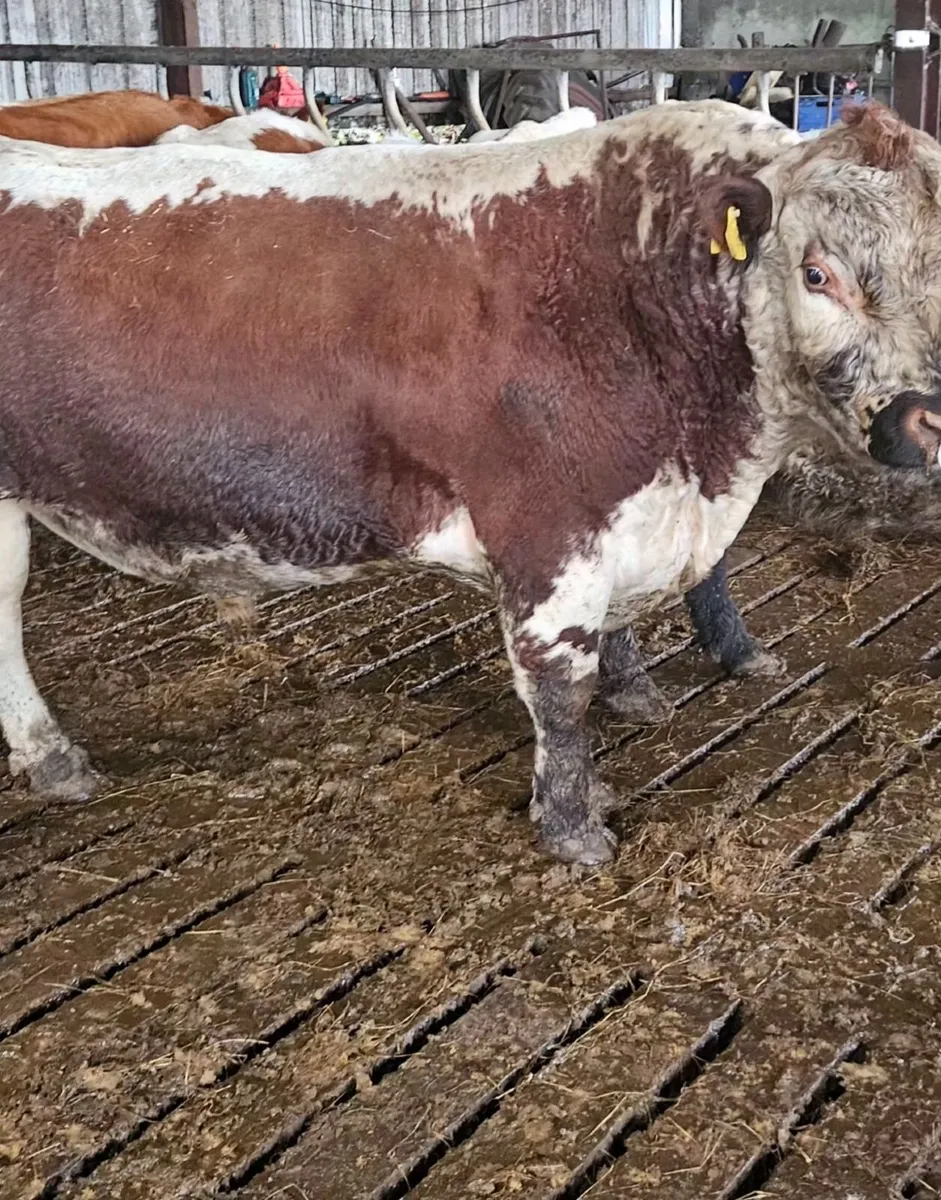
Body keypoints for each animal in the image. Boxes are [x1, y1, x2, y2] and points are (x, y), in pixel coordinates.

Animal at [2, 99, 941, 868]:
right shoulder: (547, 531)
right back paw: (55, 756)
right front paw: (572, 828)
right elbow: (560, 693)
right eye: (817, 274)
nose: (924, 417)